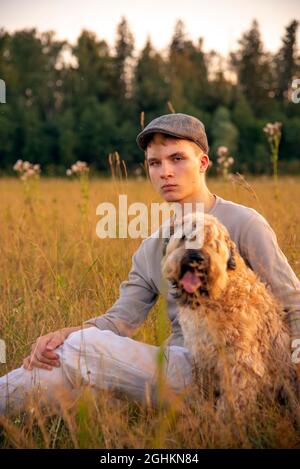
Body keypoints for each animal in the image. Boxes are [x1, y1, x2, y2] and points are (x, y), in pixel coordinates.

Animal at [162, 212, 298, 416]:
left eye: (212, 243)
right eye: (185, 237)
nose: (196, 257)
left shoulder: (240, 360)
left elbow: (234, 398)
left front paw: (226, 421)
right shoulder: (203, 356)